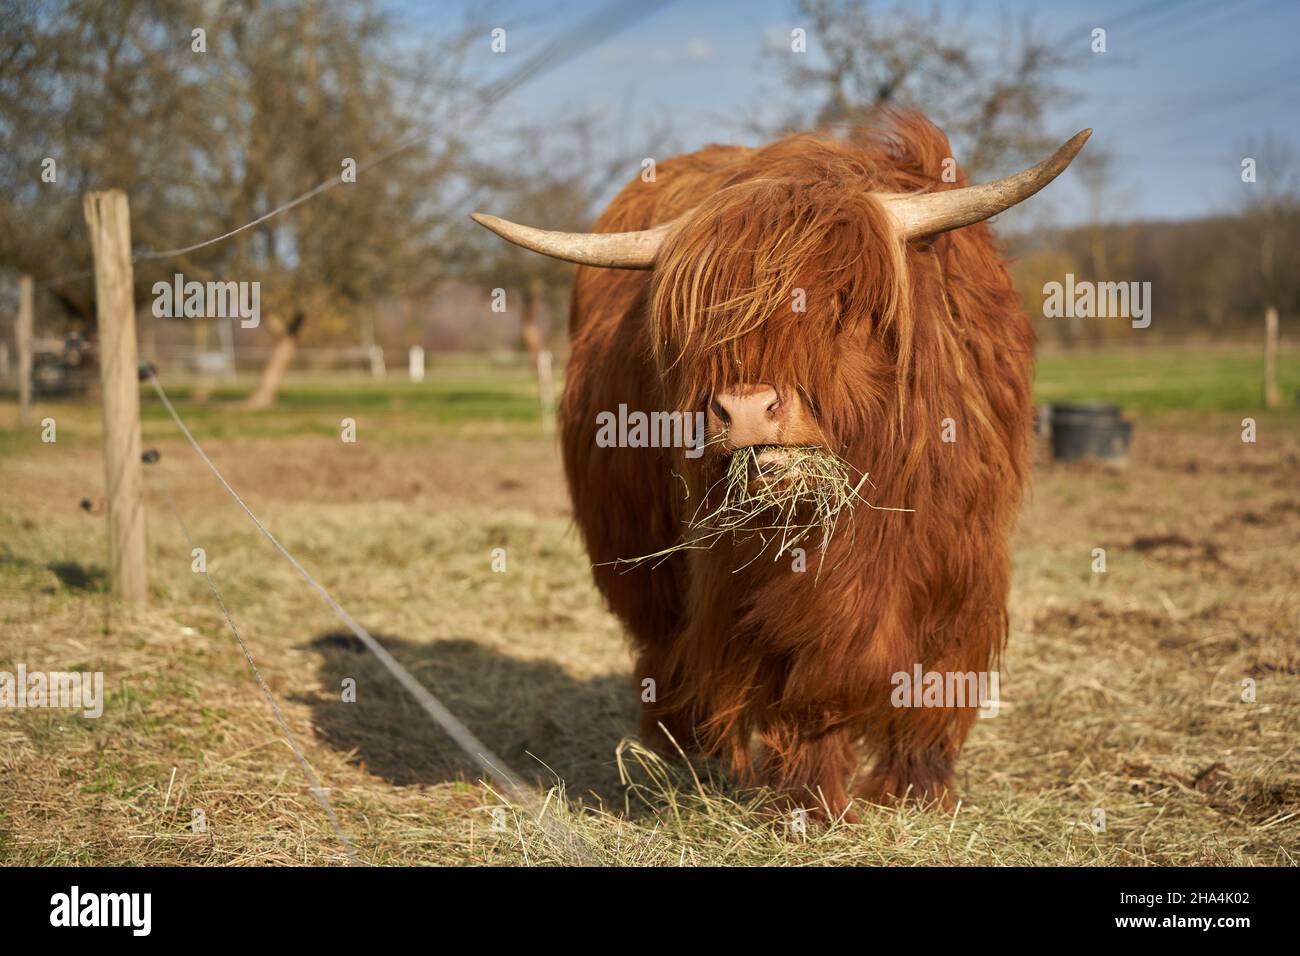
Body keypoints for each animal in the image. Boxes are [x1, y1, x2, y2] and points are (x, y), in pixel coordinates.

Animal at [475, 110, 1086, 816]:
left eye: (844, 304)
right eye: (698, 325)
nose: (744, 410)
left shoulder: (961, 565)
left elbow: (937, 681)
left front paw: (915, 790)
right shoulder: (746, 589)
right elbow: (803, 688)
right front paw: (804, 801)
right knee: (665, 653)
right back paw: (686, 758)